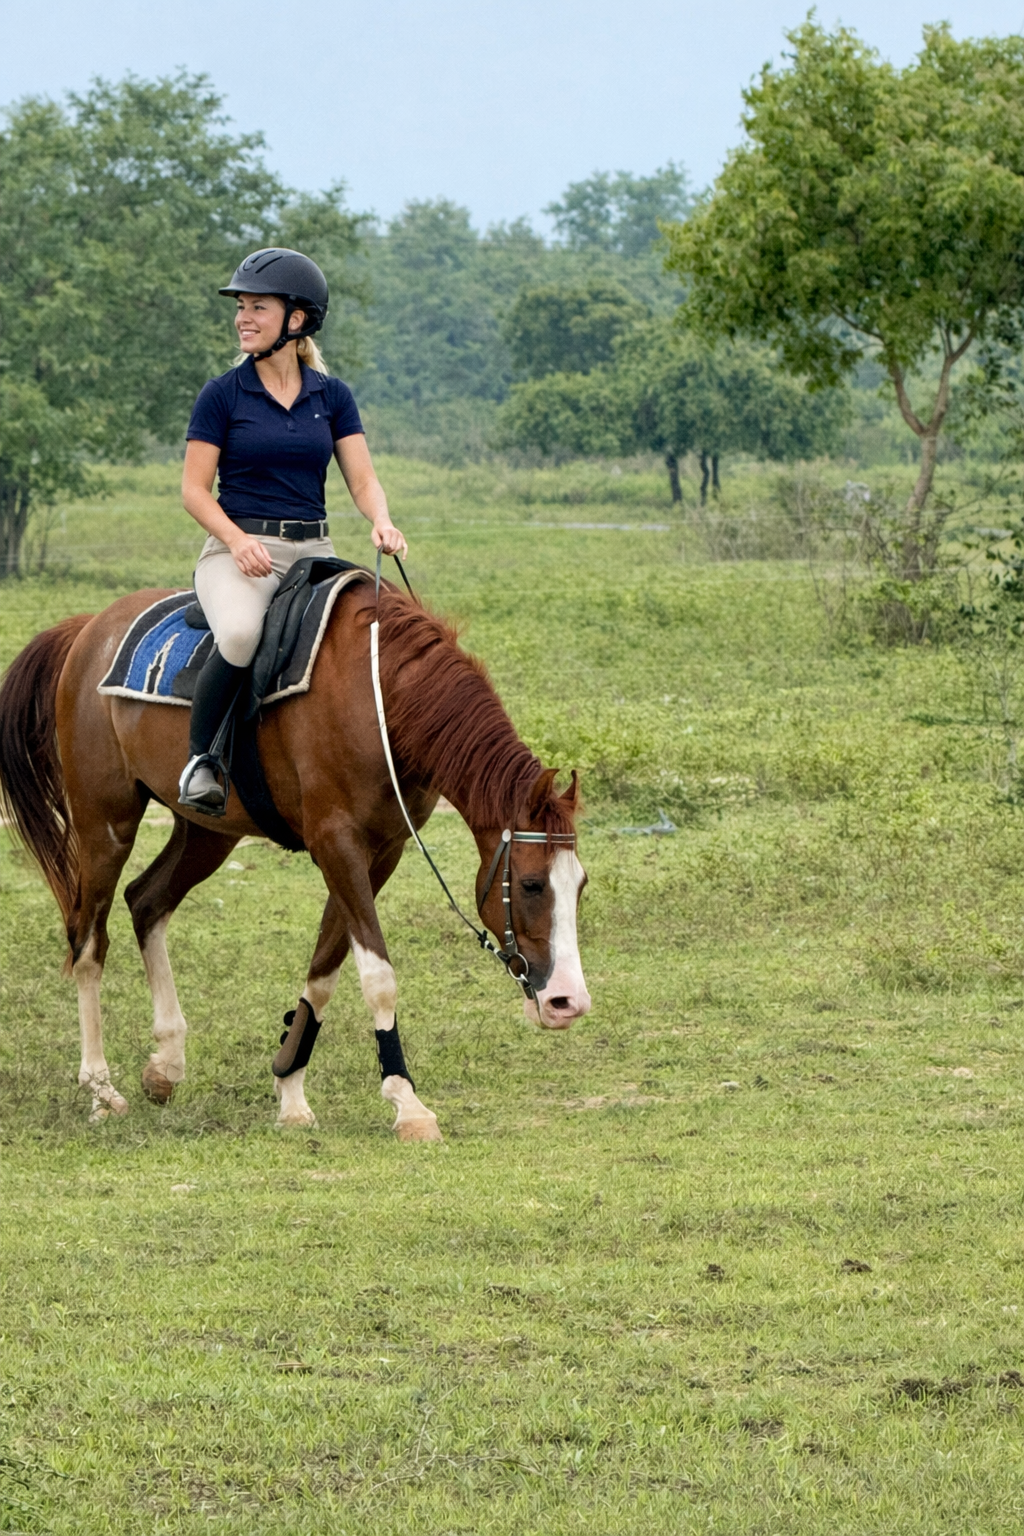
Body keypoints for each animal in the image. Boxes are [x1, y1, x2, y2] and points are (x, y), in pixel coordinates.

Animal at [0, 579, 590, 1138]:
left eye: (580, 886)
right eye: (532, 884)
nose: (568, 1001)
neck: (380, 697)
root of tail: (87, 629)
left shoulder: (381, 851)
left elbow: (325, 970)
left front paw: (290, 1093)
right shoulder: (337, 843)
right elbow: (378, 977)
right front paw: (408, 1104)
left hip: (207, 833)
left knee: (146, 901)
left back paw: (165, 1064)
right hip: (105, 825)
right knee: (88, 943)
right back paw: (101, 1090)